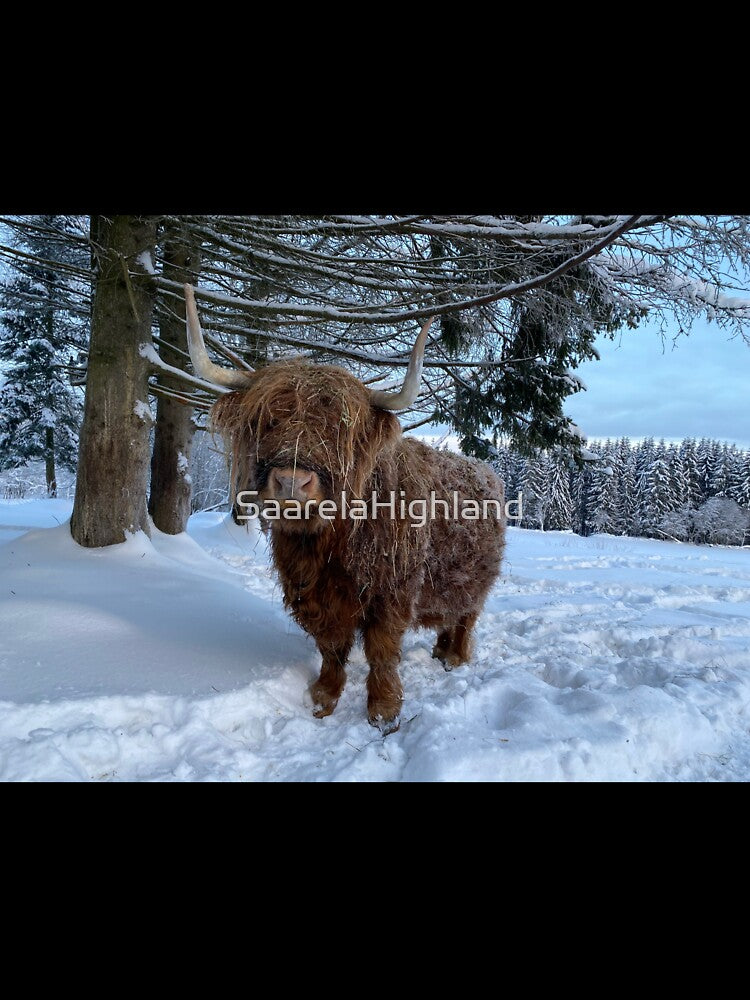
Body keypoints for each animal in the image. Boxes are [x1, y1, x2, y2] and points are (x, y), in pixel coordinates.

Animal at [184, 284, 506, 732]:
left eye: (339, 429)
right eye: (266, 421)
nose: (291, 482)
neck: (331, 543)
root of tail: (485, 471)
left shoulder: (393, 591)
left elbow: (382, 651)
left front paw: (384, 710)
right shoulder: (312, 591)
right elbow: (332, 647)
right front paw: (323, 697)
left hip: (476, 582)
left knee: (465, 615)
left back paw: (454, 656)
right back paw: (441, 652)